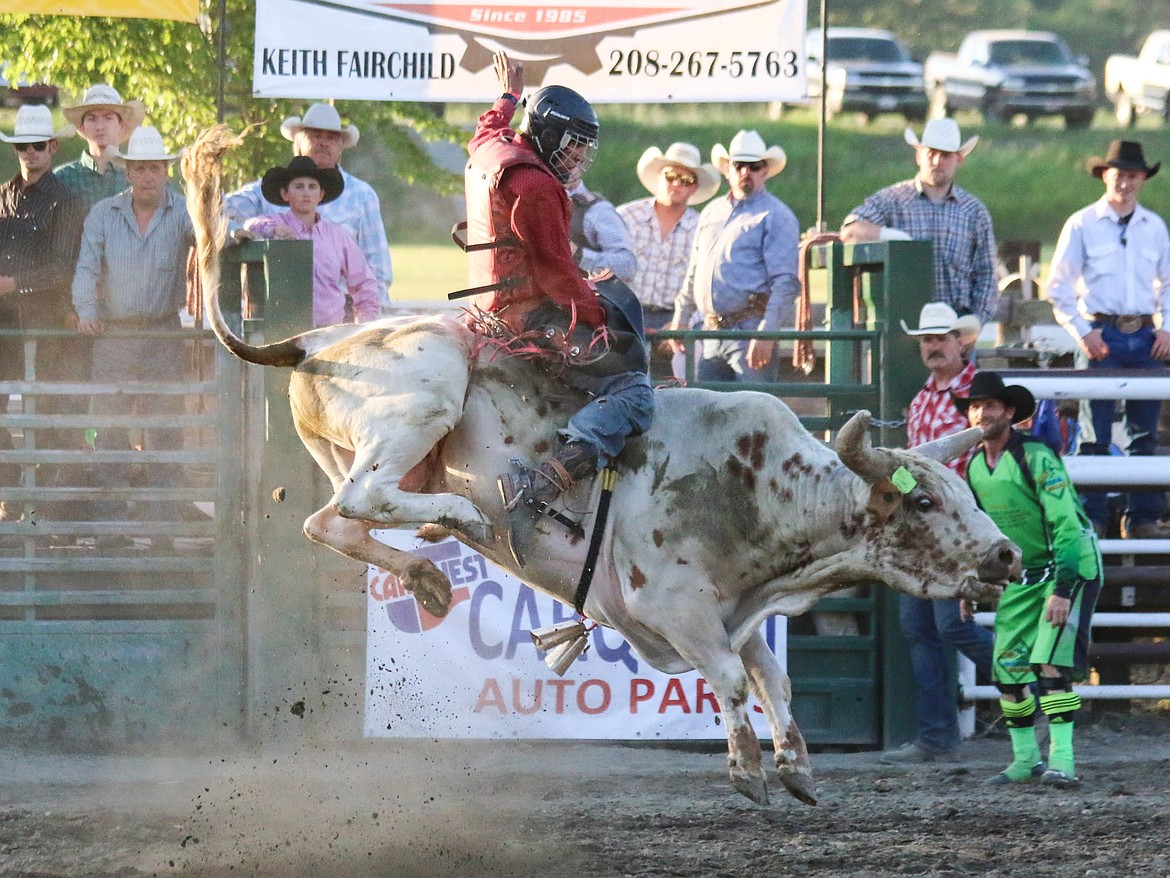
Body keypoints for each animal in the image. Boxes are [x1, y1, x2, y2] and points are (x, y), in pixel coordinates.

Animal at [187, 127, 1020, 810]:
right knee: (364, 497)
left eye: (964, 491)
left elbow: (771, 676)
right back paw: (460, 517)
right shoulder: (677, 607)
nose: (1007, 554)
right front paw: (748, 771)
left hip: (370, 453)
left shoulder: (739, 609)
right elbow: (726, 677)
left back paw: (426, 574)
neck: (766, 488)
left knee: (328, 518)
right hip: (428, 391)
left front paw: (796, 767)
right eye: (923, 505)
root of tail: (314, 339)